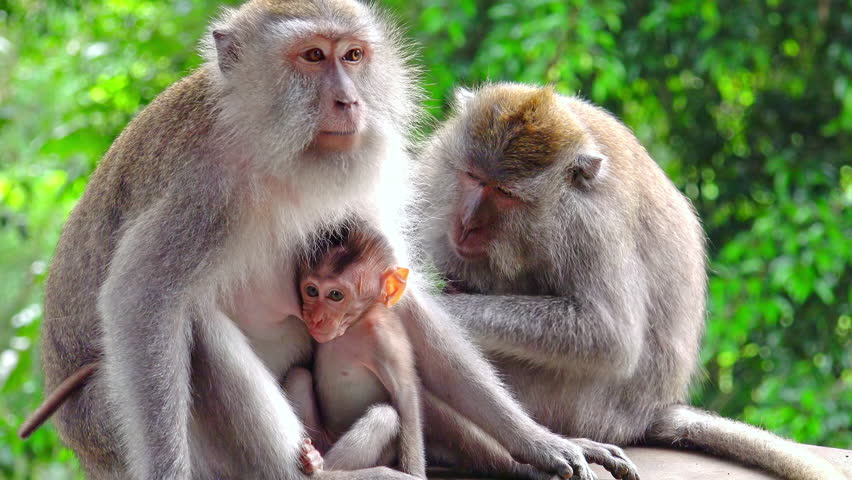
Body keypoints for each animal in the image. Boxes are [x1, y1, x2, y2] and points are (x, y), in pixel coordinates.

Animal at [288, 227, 426, 478]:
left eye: (335, 295)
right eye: (311, 290)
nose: (315, 318)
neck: (355, 324)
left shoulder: (384, 338)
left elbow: (405, 394)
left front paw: (414, 473)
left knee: (385, 417)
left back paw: (319, 468)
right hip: (319, 434)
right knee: (298, 374)